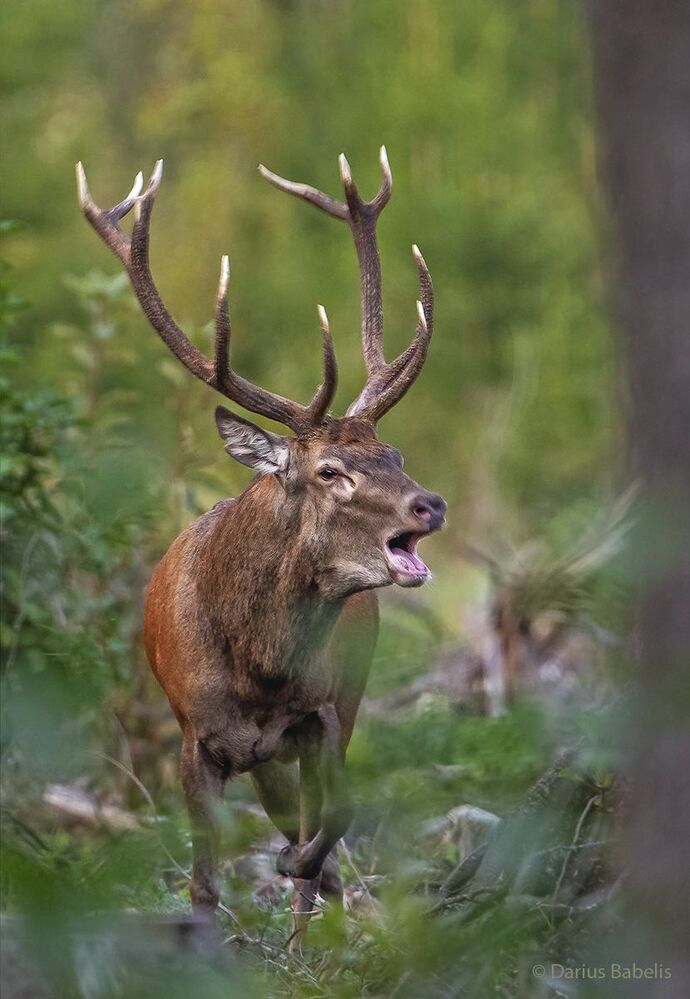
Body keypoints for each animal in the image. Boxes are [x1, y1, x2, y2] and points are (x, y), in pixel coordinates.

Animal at [76, 147, 447, 937]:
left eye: (395, 453)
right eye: (330, 469)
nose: (429, 503)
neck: (257, 670)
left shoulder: (324, 710)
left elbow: (336, 815)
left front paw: (298, 874)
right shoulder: (192, 736)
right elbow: (203, 880)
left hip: (338, 705)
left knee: (311, 832)